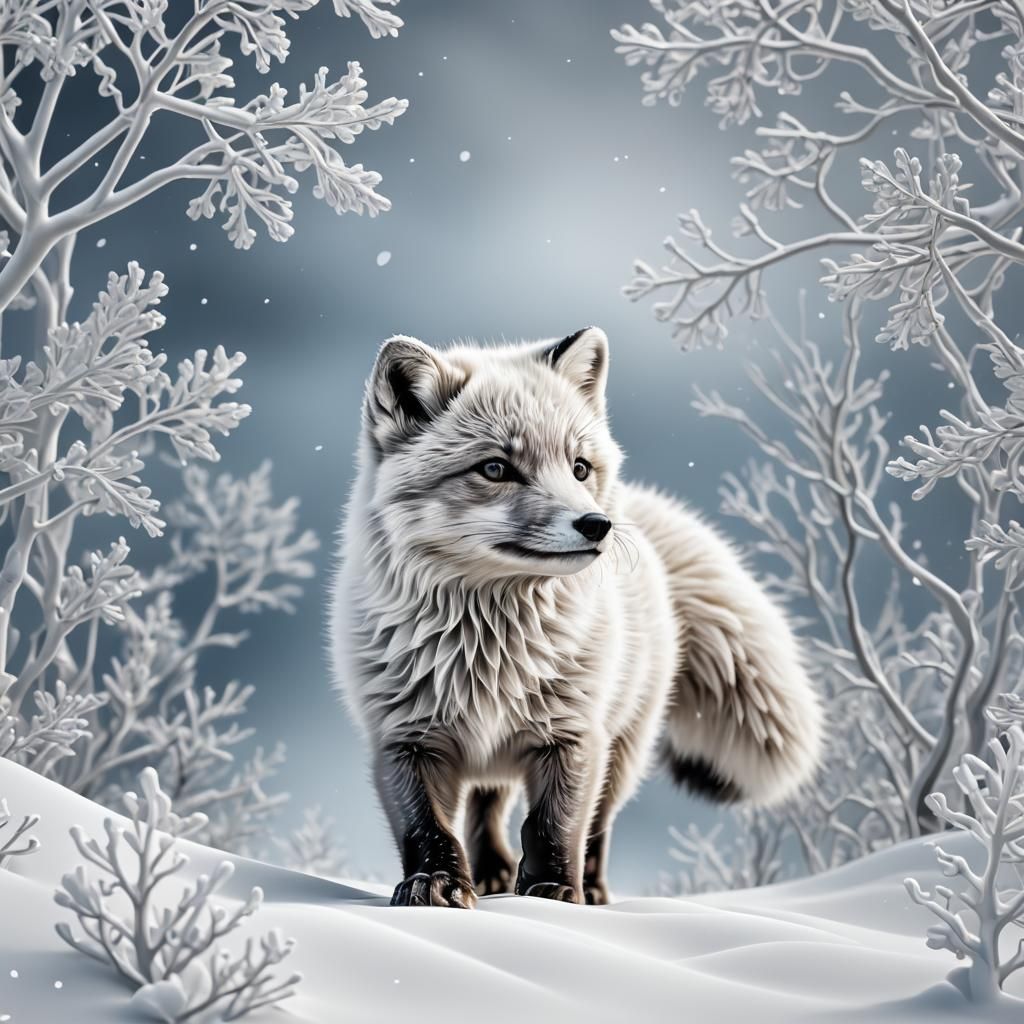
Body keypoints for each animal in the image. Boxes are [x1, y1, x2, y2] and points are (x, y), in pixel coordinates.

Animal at [329, 327, 822, 908]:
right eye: (495, 468)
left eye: (579, 467)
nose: (596, 525)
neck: (488, 654)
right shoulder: (403, 739)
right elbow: (428, 829)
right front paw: (438, 884)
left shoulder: (574, 736)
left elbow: (553, 825)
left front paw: (553, 894)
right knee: (488, 805)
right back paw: (492, 873)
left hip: (623, 749)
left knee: (595, 824)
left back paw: (589, 888)